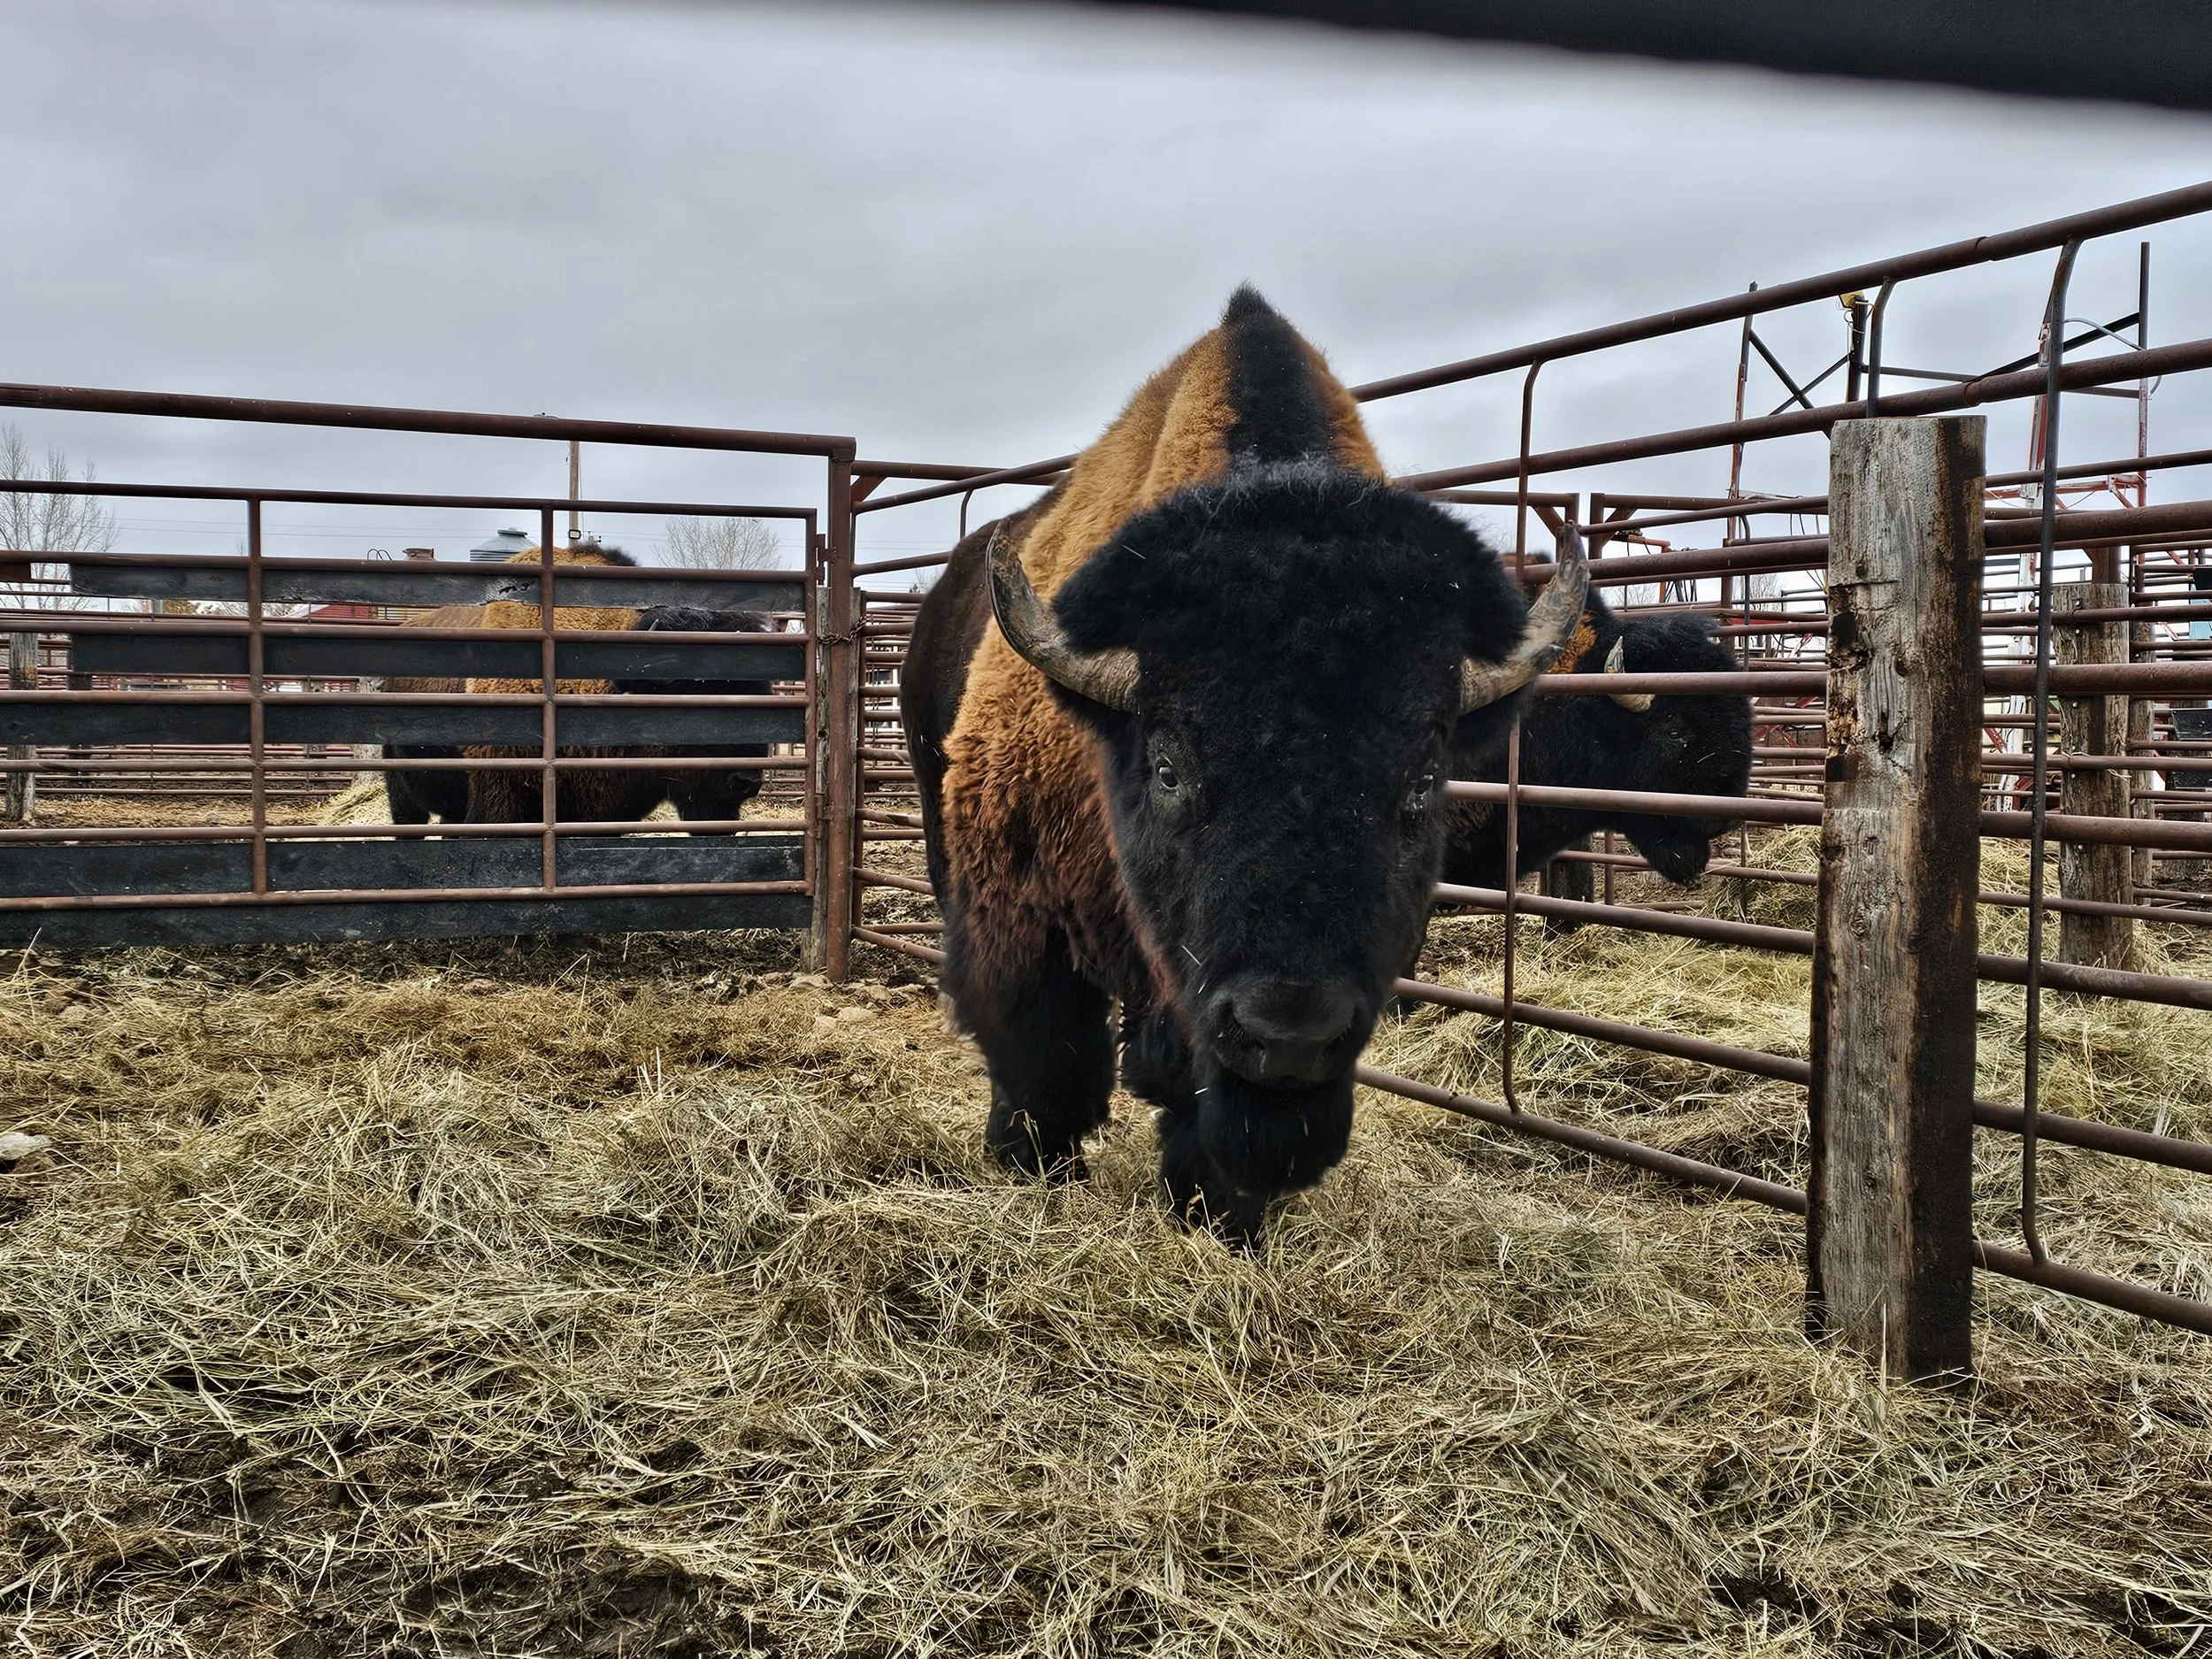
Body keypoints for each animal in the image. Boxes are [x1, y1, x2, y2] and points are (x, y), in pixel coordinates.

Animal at [905, 288, 1587, 1243]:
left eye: (1422, 779)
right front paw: (1031, 1170)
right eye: (1168, 767)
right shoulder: (1017, 913)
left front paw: (1223, 1224)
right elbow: (1048, 1067)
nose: (1289, 1031)